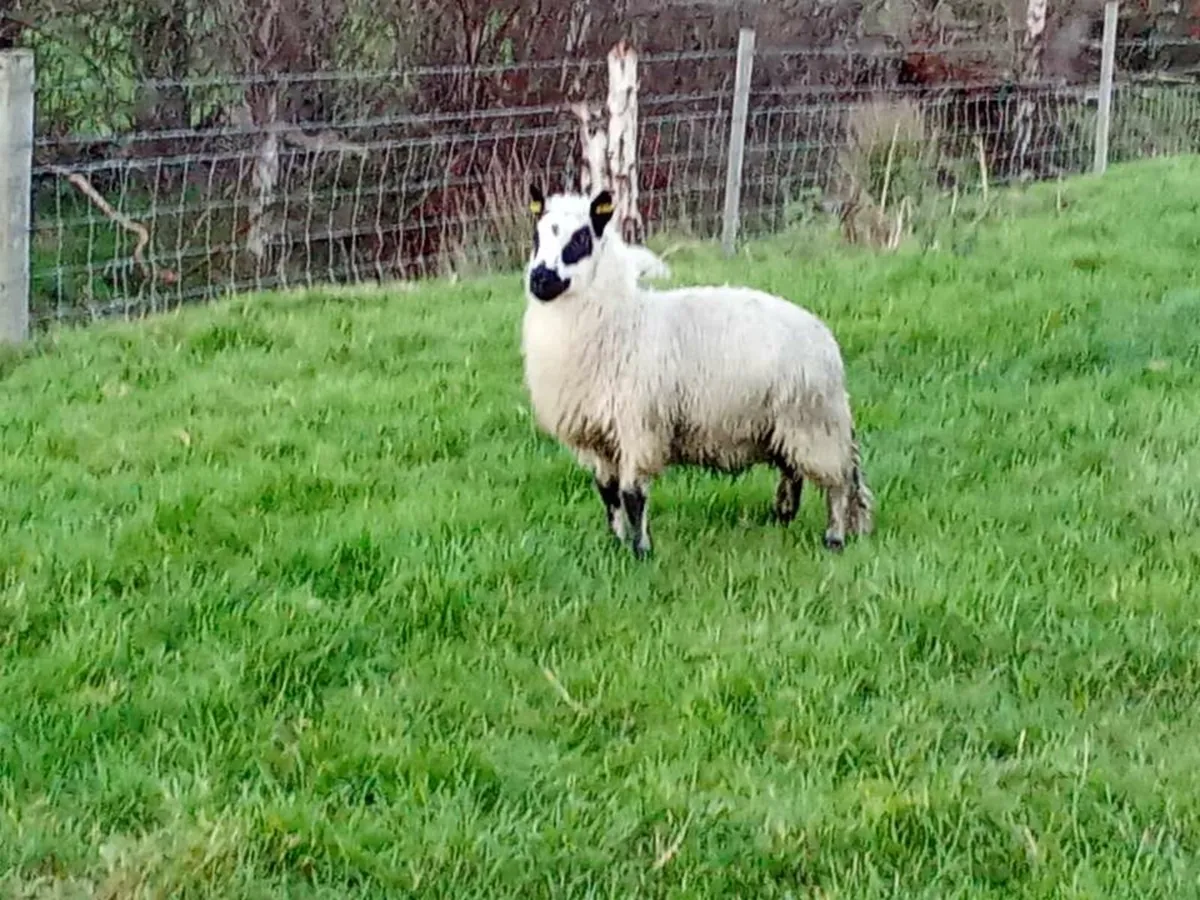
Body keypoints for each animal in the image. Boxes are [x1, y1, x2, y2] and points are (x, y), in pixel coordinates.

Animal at [520, 184, 874, 558]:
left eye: (580, 239)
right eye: (536, 237)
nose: (540, 279)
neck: (625, 322)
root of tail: (824, 337)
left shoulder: (638, 427)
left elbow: (632, 495)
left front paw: (641, 551)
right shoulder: (599, 436)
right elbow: (608, 493)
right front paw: (615, 543)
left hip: (814, 421)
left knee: (838, 483)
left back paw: (834, 538)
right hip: (784, 423)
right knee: (793, 471)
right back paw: (783, 516)